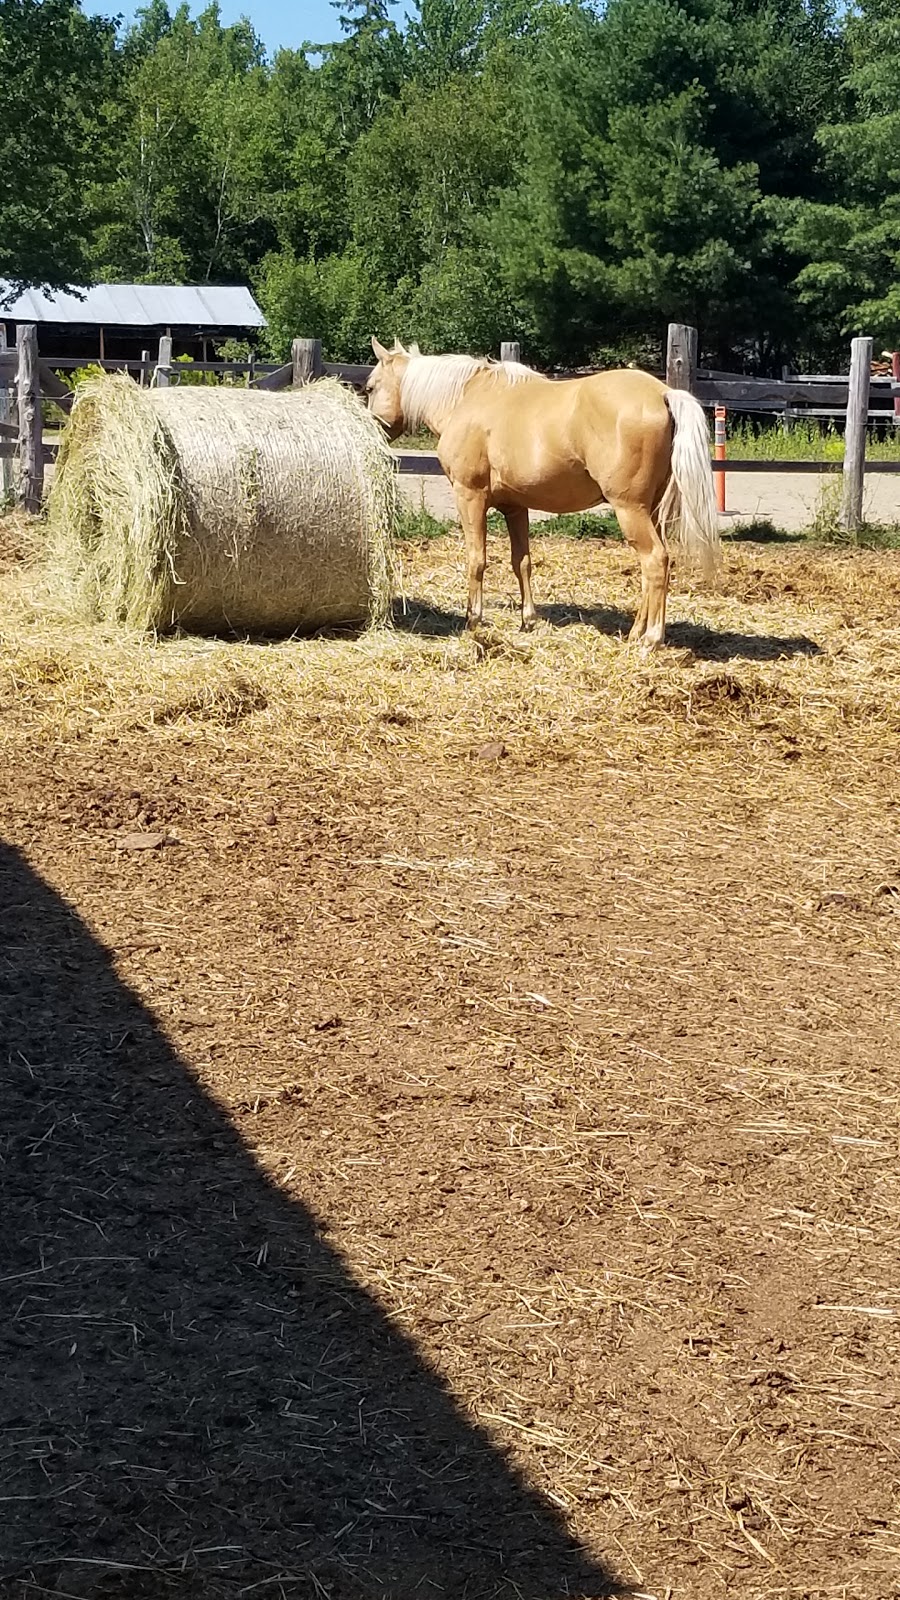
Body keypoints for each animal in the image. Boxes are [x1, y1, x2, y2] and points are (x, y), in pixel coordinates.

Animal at [361, 337, 714, 643]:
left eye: (370, 386)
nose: (372, 429)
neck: (465, 399)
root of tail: (663, 394)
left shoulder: (469, 496)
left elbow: (477, 559)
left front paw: (473, 620)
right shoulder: (515, 507)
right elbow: (523, 562)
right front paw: (527, 619)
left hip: (630, 510)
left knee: (655, 561)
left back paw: (651, 639)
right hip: (648, 510)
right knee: (648, 569)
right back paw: (636, 632)